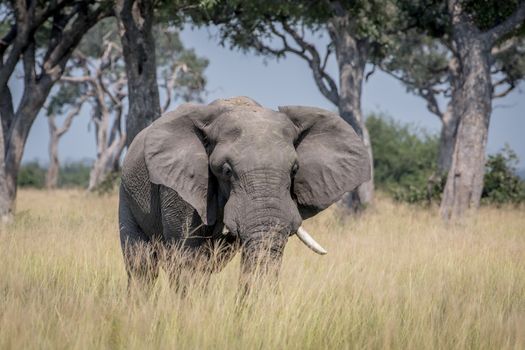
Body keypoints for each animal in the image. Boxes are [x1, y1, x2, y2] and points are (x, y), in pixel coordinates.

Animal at [118, 96, 370, 292]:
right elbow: (187, 258)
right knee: (141, 265)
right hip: (127, 194)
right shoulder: (180, 189)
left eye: (294, 170)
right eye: (226, 171)